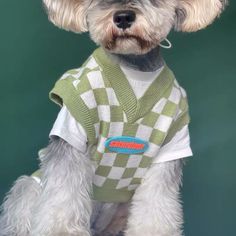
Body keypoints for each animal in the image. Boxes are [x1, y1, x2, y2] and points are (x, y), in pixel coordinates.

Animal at [0, 0, 228, 236]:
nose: (123, 17)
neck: (135, 70)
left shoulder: (171, 146)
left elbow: (156, 206)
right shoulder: (73, 132)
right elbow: (63, 197)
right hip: (29, 187)